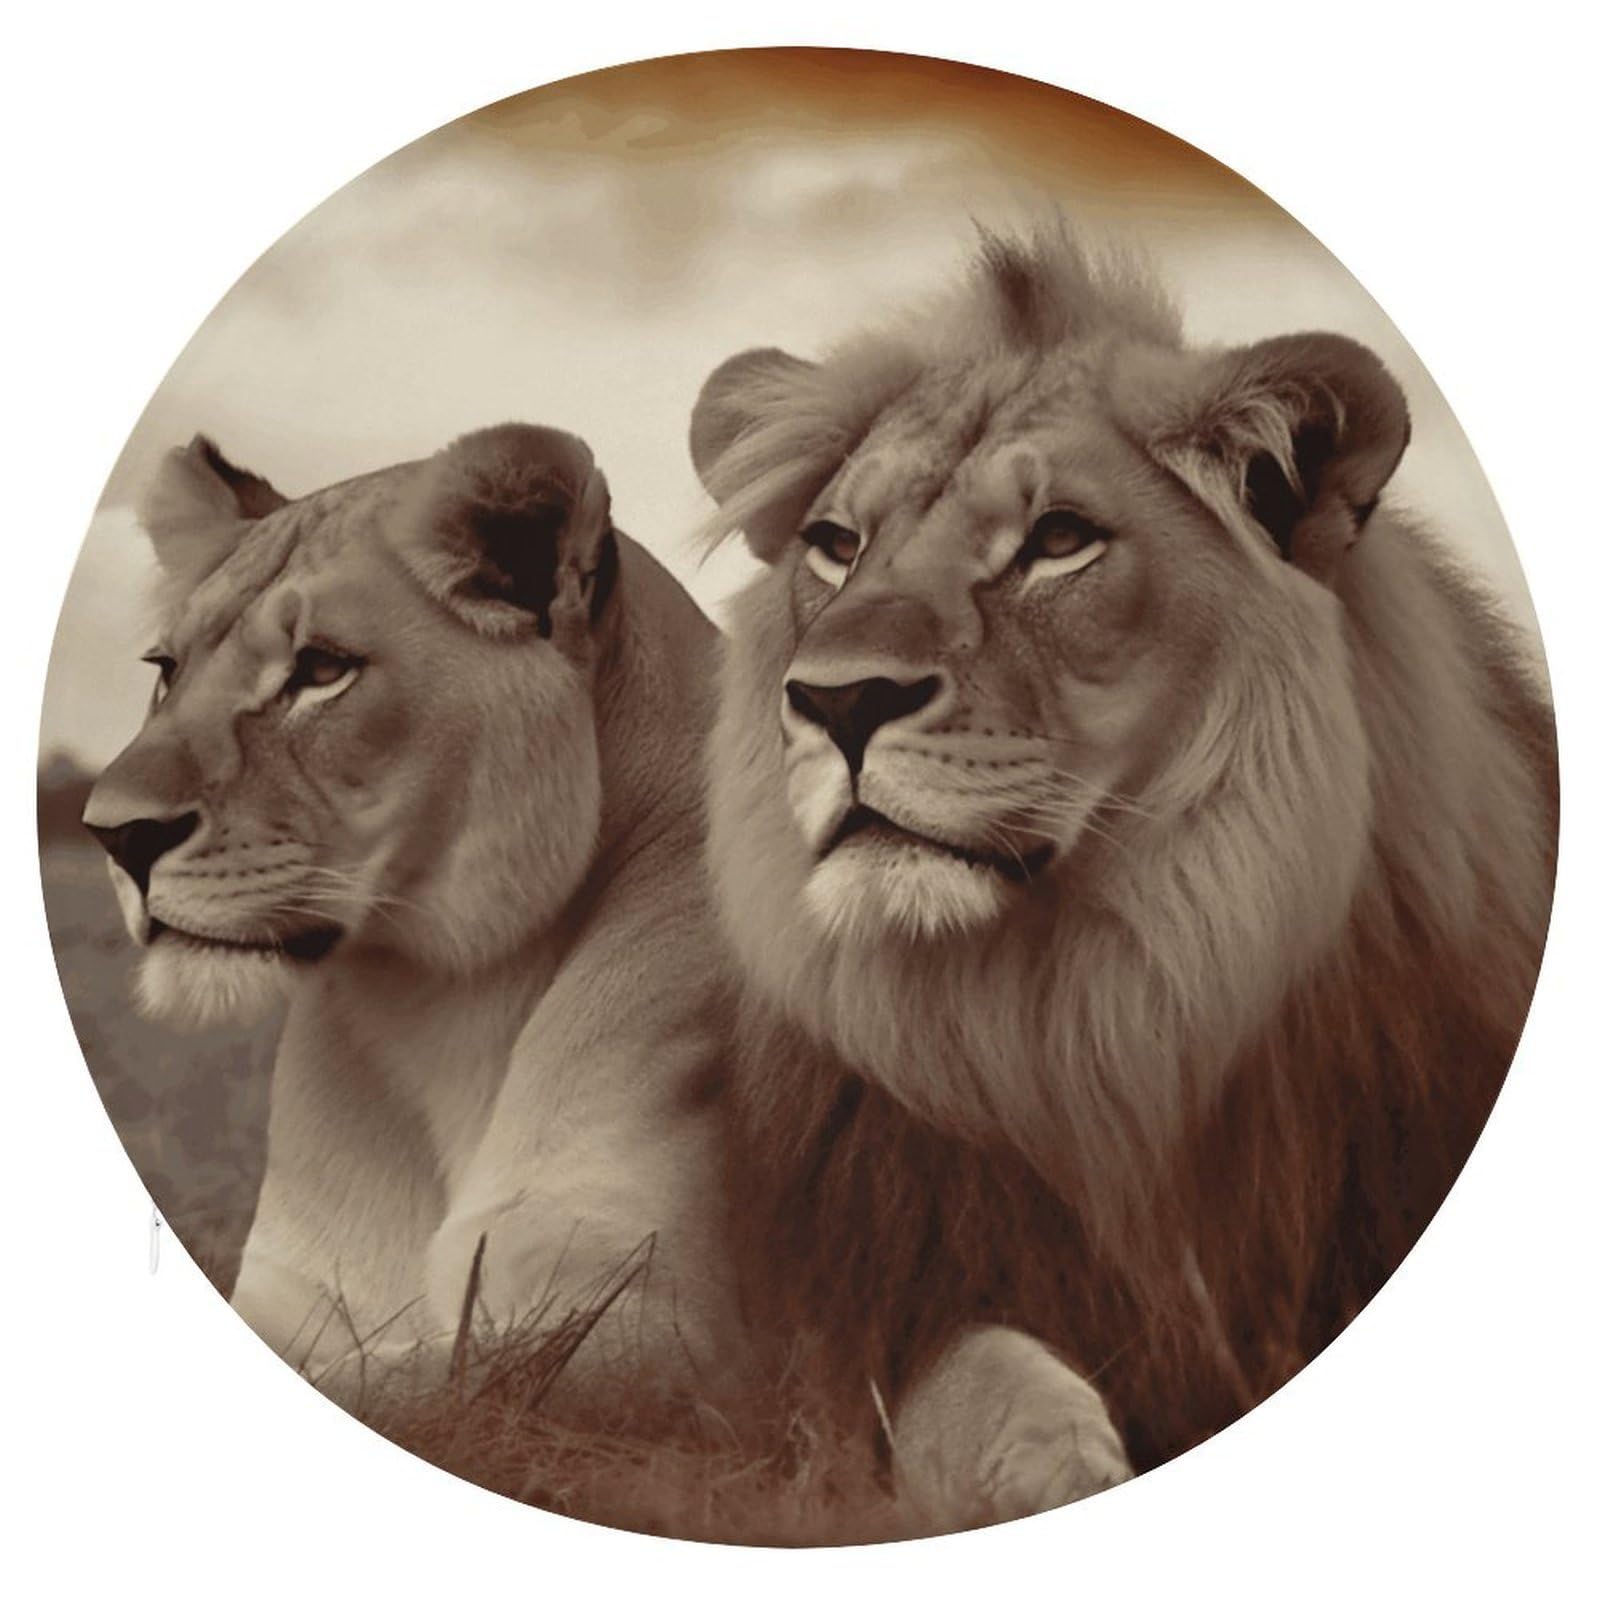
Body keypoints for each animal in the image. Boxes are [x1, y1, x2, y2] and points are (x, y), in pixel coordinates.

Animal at [83, 423, 744, 1408]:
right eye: (167, 673)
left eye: (322, 672)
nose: (116, 833)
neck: (442, 1007)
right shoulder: (285, 1285)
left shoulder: (657, 1326)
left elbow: (399, 1388)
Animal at [689, 226, 1557, 1531]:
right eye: (836, 547)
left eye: (1059, 541)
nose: (836, 701)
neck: (1090, 1014)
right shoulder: (856, 1332)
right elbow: (984, 1389)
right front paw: (1060, 1463)